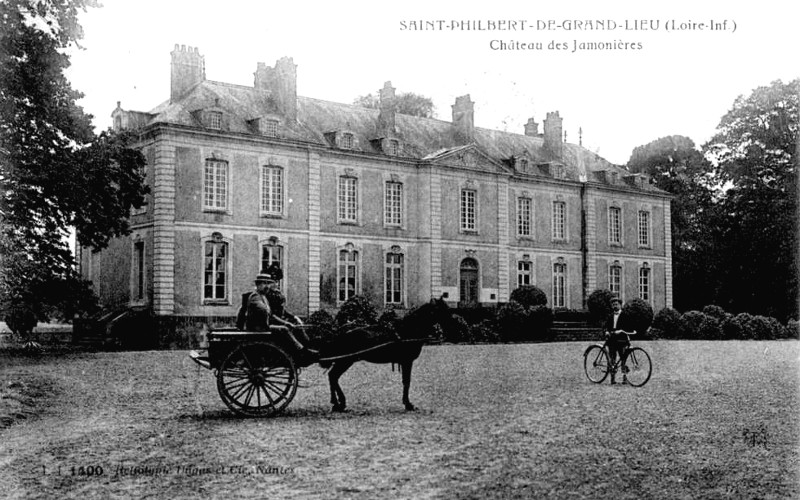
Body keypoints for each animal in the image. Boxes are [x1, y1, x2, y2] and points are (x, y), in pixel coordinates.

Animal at [320, 298, 456, 412]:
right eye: (443, 310)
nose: (454, 326)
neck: (408, 330)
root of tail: (341, 331)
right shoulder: (407, 361)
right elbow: (407, 381)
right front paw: (408, 404)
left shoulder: (406, 361)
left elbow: (406, 381)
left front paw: (407, 402)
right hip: (345, 361)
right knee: (333, 376)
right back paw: (339, 403)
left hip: (344, 361)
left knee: (333, 377)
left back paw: (337, 403)